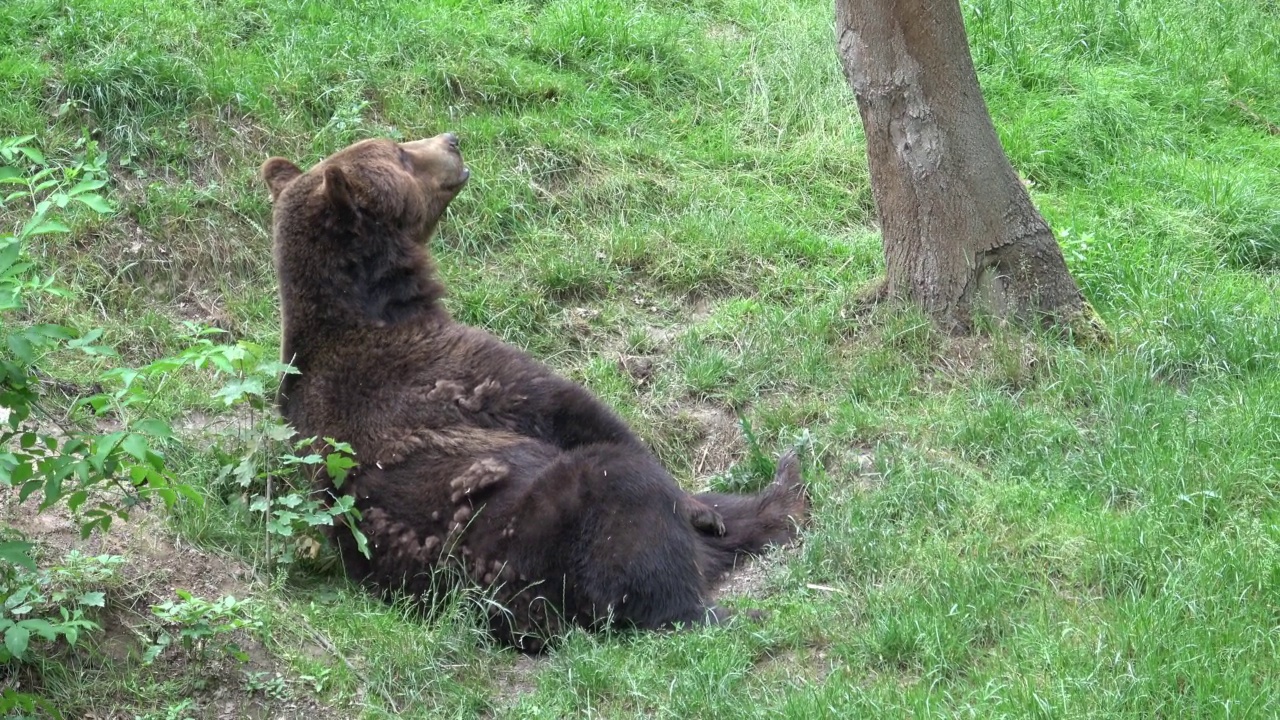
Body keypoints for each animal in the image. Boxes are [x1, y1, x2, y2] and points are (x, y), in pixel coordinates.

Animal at [259, 131, 808, 648]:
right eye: (400, 152)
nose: (452, 139)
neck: (374, 305)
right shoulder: (454, 372)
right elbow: (576, 411)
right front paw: (701, 507)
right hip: (550, 532)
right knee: (629, 501)